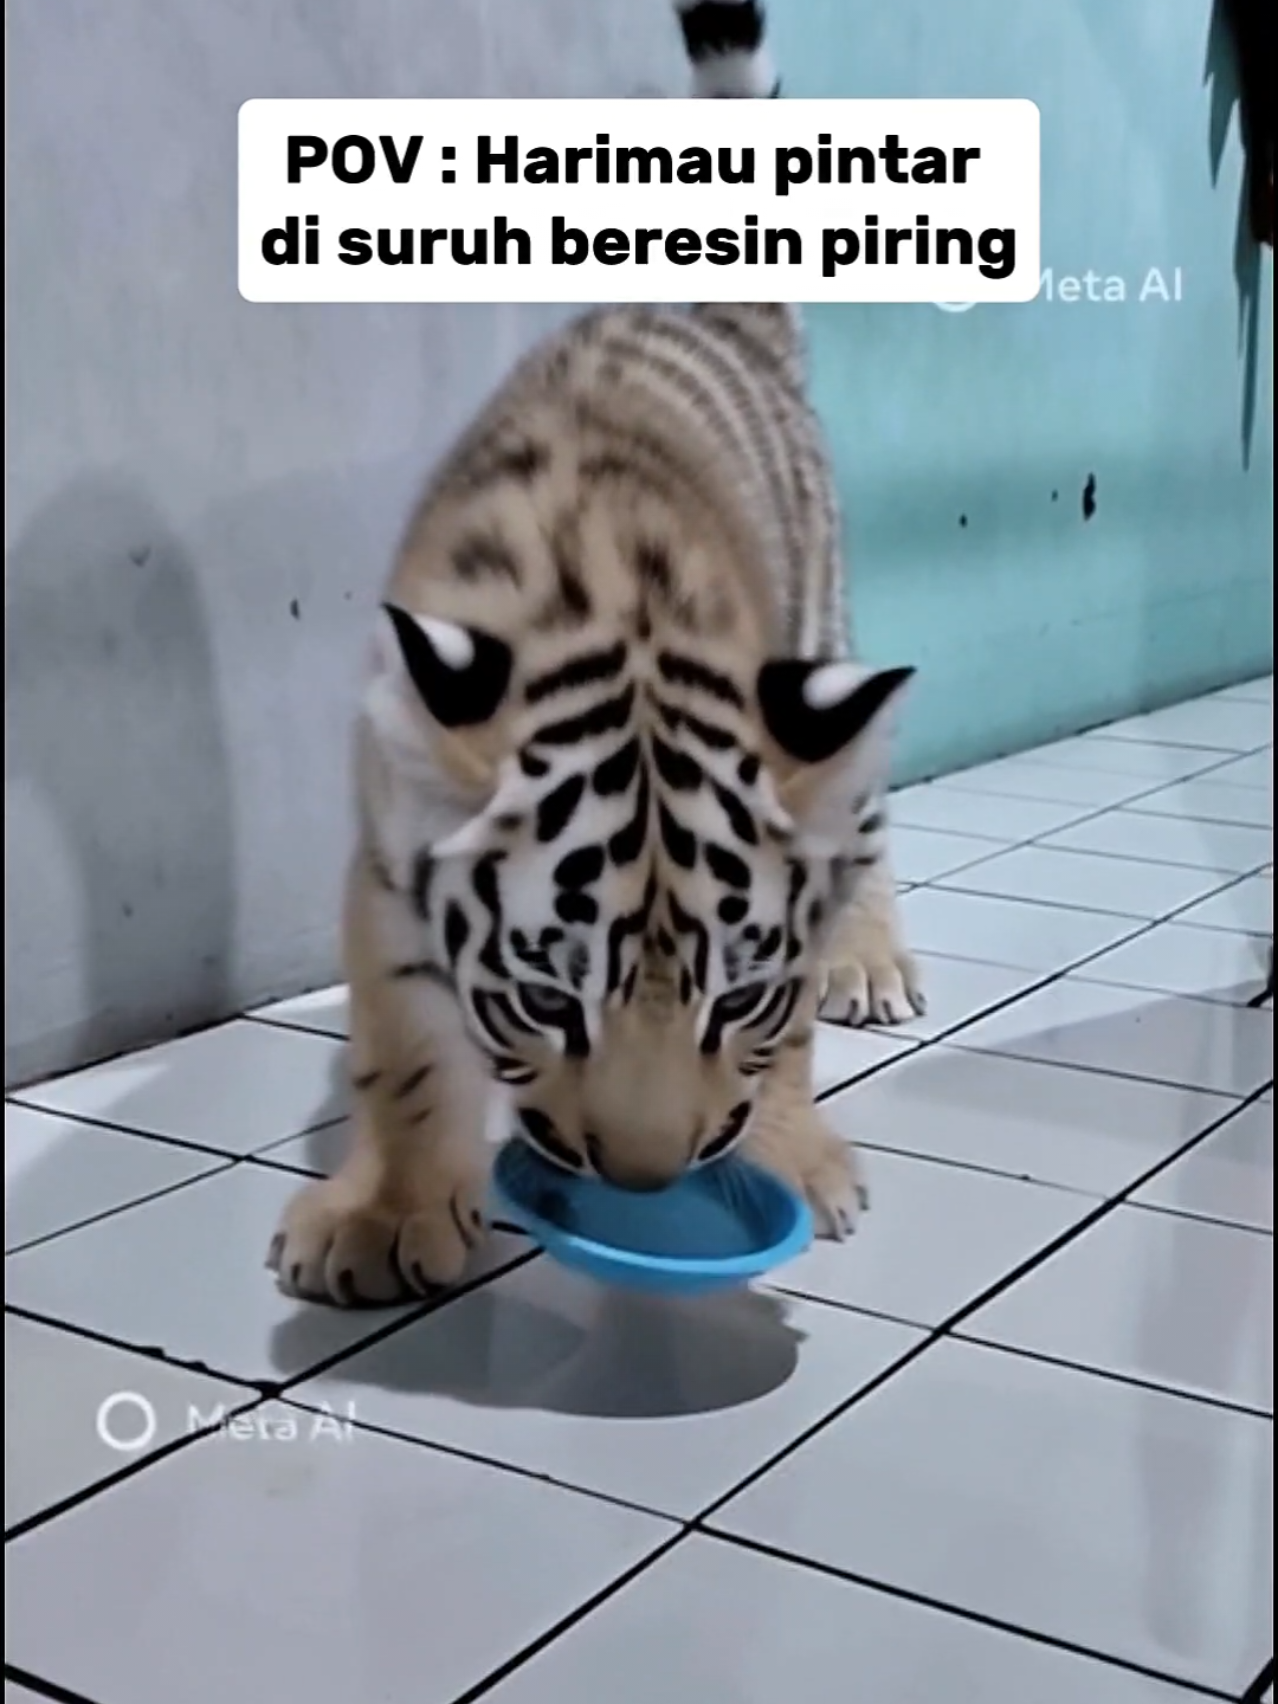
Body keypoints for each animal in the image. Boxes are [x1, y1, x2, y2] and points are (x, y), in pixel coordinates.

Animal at [268, 0, 925, 1306]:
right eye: (541, 994)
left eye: (739, 990)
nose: (644, 1178)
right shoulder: (388, 860)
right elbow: (404, 1049)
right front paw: (385, 1213)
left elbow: (782, 1034)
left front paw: (793, 1152)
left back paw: (870, 965)